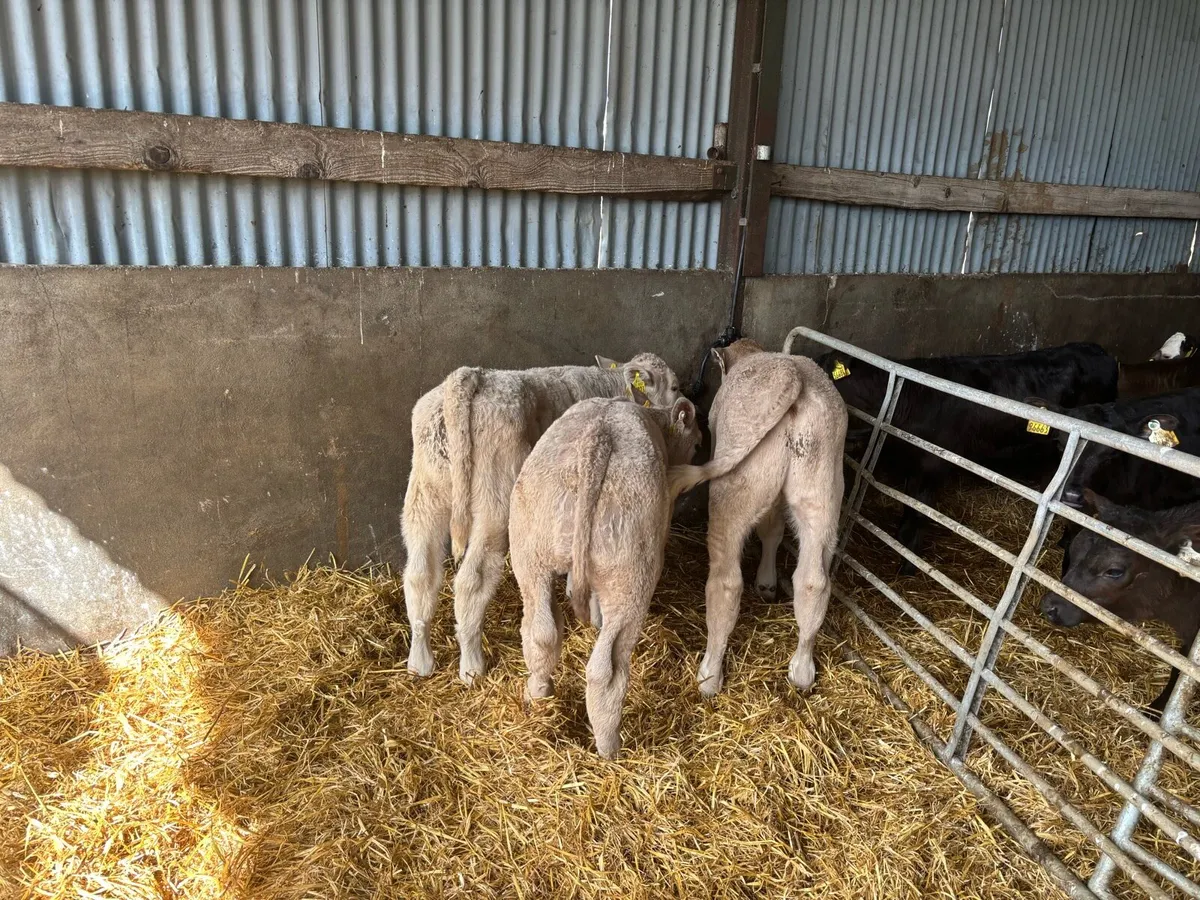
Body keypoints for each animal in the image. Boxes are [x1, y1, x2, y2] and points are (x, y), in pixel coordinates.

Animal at [402, 353, 684, 683]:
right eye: (674, 385)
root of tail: (472, 376)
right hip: (493, 501)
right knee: (471, 580)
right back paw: (471, 665)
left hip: (425, 493)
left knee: (420, 573)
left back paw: (420, 660)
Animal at [509, 395, 702, 758]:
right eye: (697, 443)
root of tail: (596, 440)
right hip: (629, 576)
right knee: (605, 670)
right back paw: (610, 747)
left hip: (530, 551)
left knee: (541, 633)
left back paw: (538, 694)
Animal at [671, 344, 847, 698]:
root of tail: (792, 375)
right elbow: (772, 531)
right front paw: (766, 582)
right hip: (822, 492)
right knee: (813, 581)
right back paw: (802, 671)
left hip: (735, 489)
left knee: (726, 583)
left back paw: (710, 675)